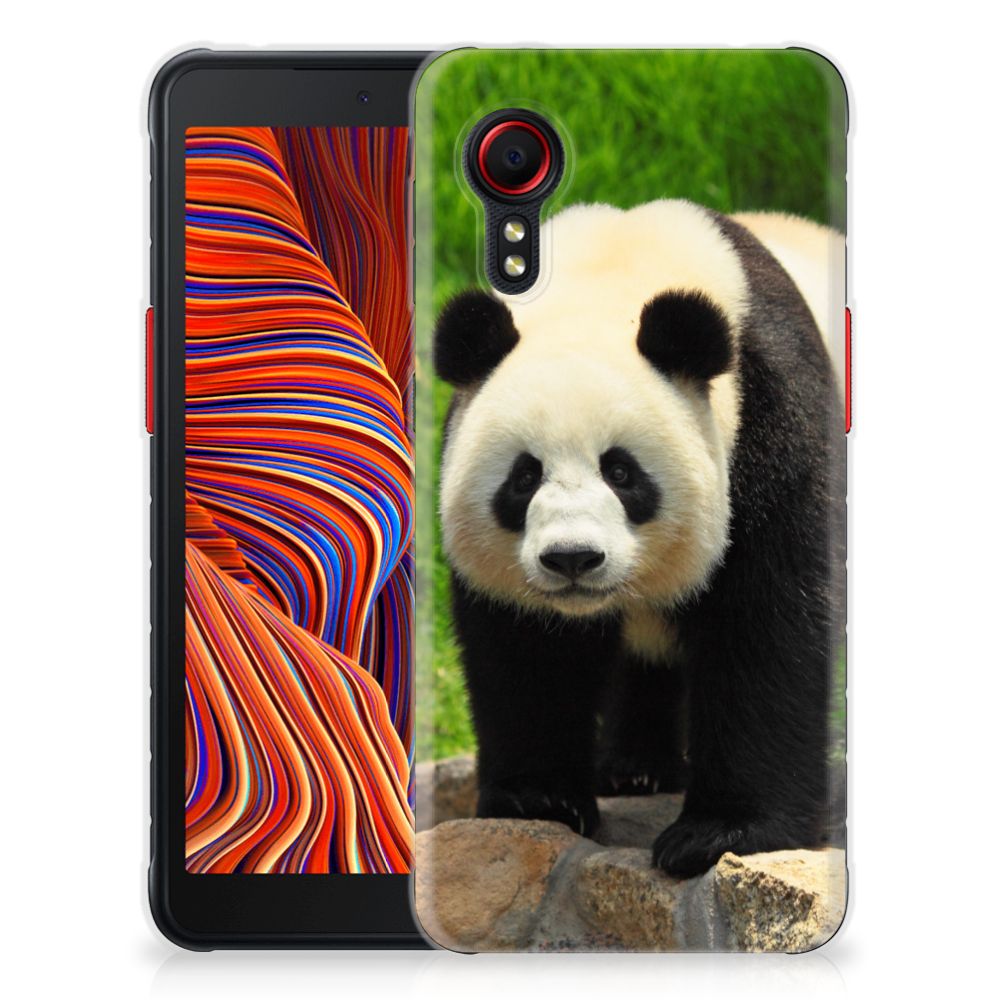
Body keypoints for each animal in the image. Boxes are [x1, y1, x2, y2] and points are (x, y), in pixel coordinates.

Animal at [433, 200, 845, 878]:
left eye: (622, 472)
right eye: (524, 477)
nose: (573, 558)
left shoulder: (771, 421)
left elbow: (767, 624)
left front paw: (720, 833)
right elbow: (526, 648)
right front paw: (538, 799)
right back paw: (634, 770)